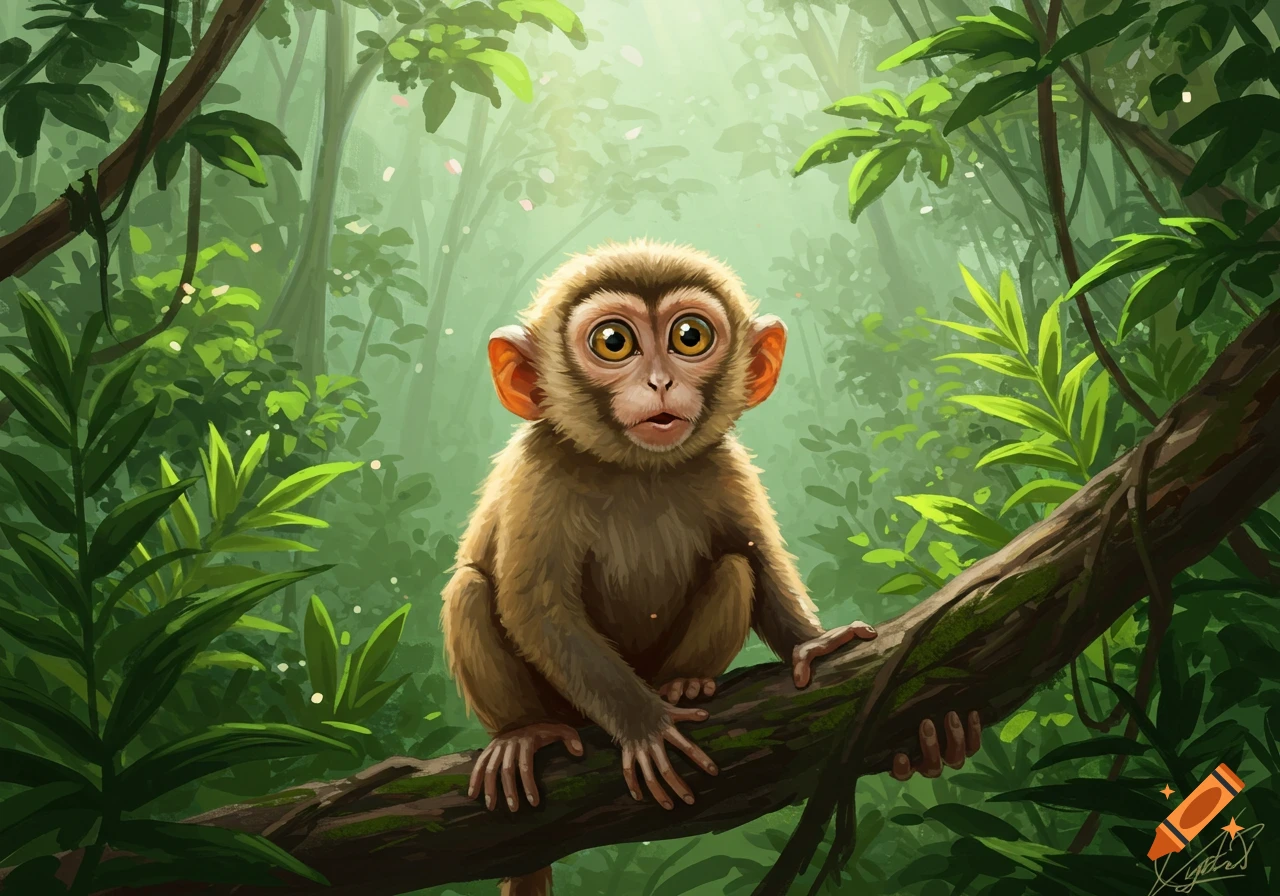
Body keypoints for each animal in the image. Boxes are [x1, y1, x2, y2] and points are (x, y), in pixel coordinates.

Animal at [441, 239, 982, 896]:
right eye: (613, 342)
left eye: (689, 336)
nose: (661, 381)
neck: (637, 469)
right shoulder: (537, 471)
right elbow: (536, 609)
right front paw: (645, 725)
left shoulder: (727, 465)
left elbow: (757, 559)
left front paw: (812, 646)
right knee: (471, 588)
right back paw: (524, 733)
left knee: (732, 567)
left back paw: (685, 682)